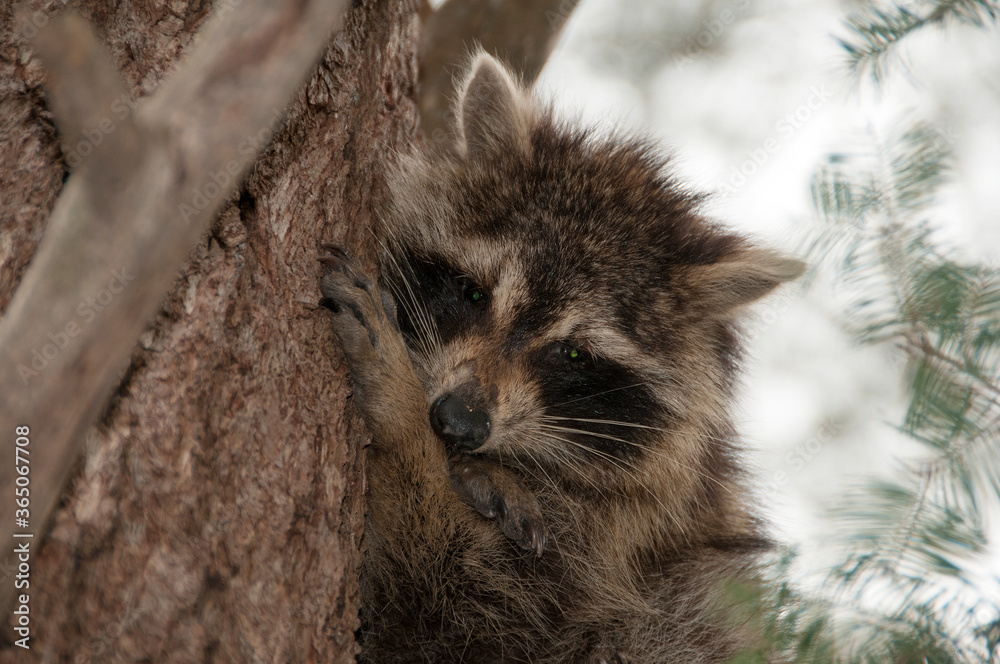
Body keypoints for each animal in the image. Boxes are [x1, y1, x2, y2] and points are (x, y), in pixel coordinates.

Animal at [318, 52, 804, 664]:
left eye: (573, 353)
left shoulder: (609, 555)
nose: (457, 423)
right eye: (473, 293)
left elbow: (444, 602)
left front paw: (401, 415)